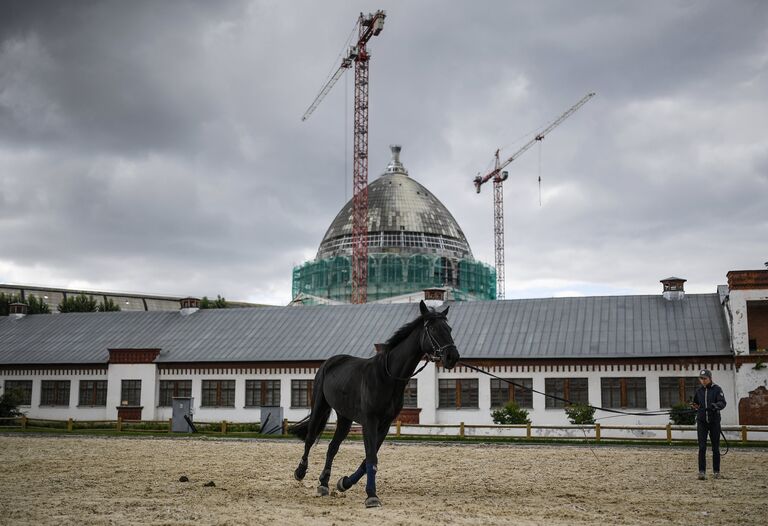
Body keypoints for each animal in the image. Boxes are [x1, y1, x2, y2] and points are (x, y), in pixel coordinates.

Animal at [286, 302, 456, 512]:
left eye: (449, 329)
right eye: (433, 329)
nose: (452, 357)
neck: (387, 376)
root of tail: (330, 362)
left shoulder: (384, 424)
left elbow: (368, 459)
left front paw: (344, 483)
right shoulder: (370, 422)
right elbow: (371, 457)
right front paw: (372, 496)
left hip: (345, 418)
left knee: (333, 447)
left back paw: (324, 483)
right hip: (320, 406)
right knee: (310, 438)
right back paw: (300, 472)